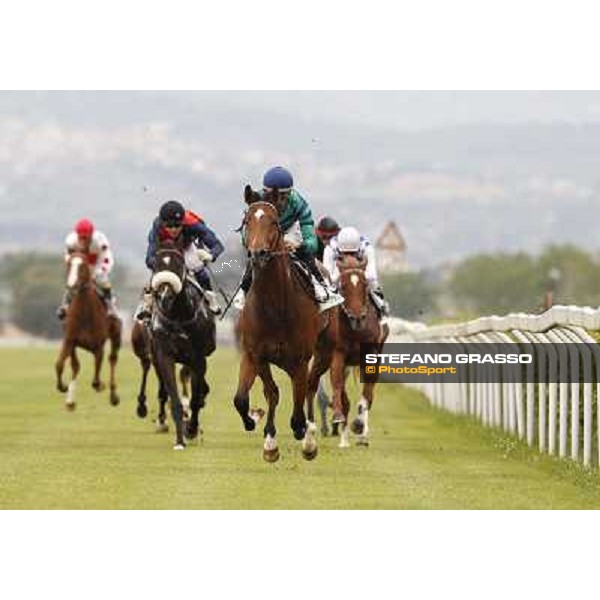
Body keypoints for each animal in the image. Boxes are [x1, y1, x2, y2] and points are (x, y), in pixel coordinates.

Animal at [55, 251, 122, 410]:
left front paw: (101, 386)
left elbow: (96, 381)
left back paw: (113, 396)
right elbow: (60, 365)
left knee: (113, 359)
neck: (85, 312)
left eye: (83, 265)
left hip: (116, 335)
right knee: (75, 366)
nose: (72, 284)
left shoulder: (98, 346)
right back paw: (70, 400)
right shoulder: (69, 340)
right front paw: (63, 388)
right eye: (69, 264)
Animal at [146, 239, 214, 450]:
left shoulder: (198, 357)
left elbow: (195, 398)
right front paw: (180, 440)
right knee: (164, 392)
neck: (178, 315)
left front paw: (191, 429)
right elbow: (175, 399)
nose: (164, 295)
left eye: (178, 264)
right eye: (156, 264)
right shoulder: (165, 356)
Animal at [234, 185, 328, 462]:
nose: (258, 254)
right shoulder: (255, 355)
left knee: (310, 389)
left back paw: (309, 440)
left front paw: (302, 434)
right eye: (247, 220)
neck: (275, 307)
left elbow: (297, 409)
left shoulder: (299, 360)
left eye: (274, 221)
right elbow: (249, 397)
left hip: (324, 351)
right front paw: (264, 436)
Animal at [310, 253, 390, 446]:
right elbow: (337, 384)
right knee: (317, 385)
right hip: (324, 356)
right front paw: (338, 417)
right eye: (343, 286)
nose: (357, 317)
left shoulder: (371, 354)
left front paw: (360, 426)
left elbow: (367, 395)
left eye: (365, 284)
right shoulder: (338, 354)